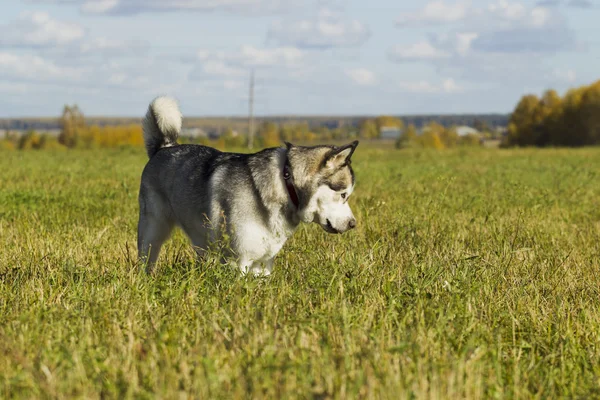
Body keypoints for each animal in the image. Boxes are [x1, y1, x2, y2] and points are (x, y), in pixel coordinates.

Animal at [138, 97, 358, 276]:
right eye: (343, 194)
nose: (353, 224)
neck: (284, 184)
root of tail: (165, 147)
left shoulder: (263, 263)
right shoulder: (238, 260)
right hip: (153, 229)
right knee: (147, 256)